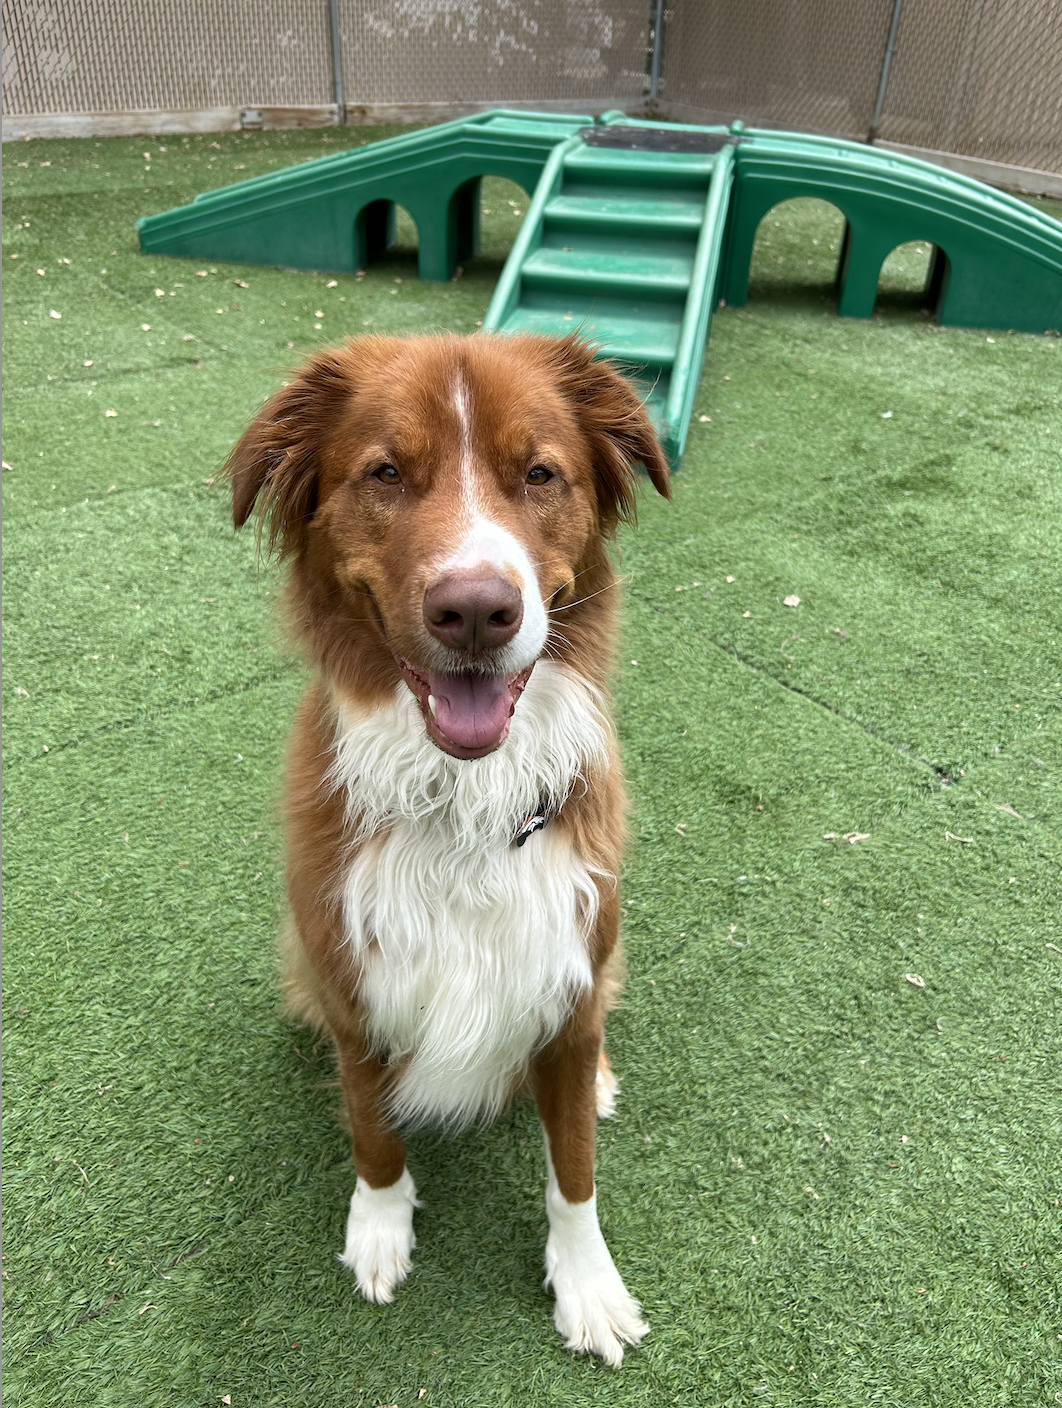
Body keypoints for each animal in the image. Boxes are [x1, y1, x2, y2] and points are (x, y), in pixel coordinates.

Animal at [226, 332, 670, 1365]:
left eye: (539, 473)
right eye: (386, 473)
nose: (474, 610)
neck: (462, 801)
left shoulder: (569, 978)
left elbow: (574, 1174)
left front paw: (587, 1285)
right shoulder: (354, 984)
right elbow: (372, 1130)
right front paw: (380, 1229)